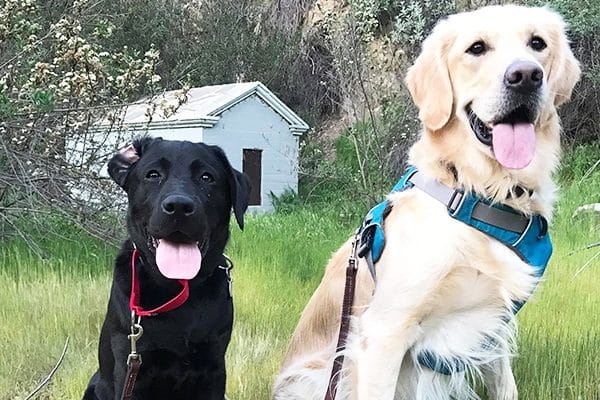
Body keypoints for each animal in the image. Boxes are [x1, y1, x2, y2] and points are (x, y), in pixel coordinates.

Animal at [84, 138, 248, 400]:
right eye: (153, 175)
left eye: (206, 177)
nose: (179, 206)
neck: (176, 291)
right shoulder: (131, 367)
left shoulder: (213, 367)